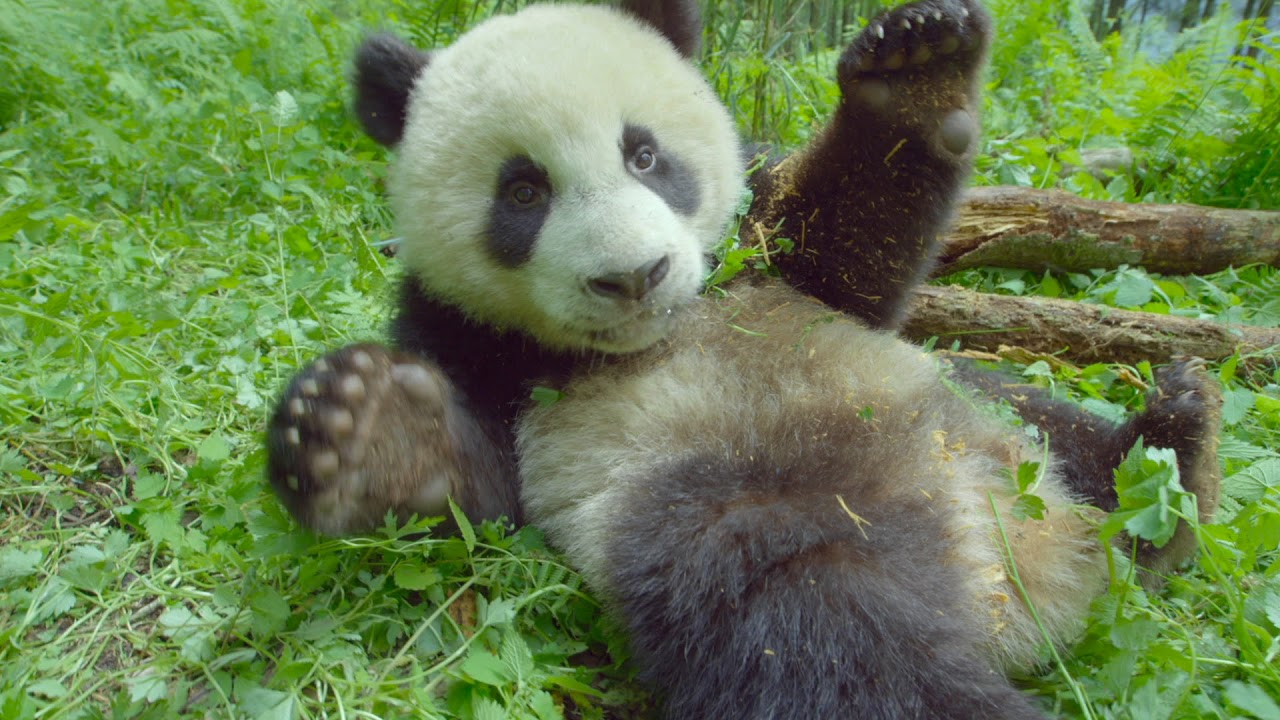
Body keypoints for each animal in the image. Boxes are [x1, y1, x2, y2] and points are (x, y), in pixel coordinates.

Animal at [264, 2, 1223, 712]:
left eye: (645, 154)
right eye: (523, 191)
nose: (635, 276)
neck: (667, 329)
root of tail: (1018, 578)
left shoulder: (763, 244)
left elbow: (850, 260)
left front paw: (916, 73)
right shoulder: (464, 332)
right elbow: (482, 496)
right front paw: (358, 429)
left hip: (978, 410)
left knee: (1056, 429)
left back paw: (1173, 457)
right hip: (741, 519)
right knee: (833, 647)